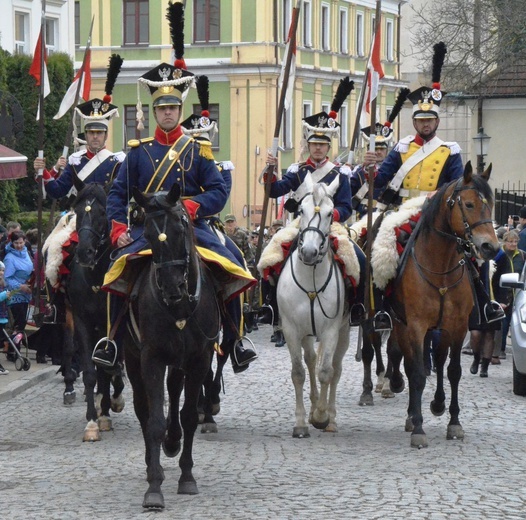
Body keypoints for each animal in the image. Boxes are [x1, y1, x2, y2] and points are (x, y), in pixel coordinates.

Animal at [125, 183, 221, 508]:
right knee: (143, 409)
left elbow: (189, 416)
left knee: (176, 392)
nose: (171, 287)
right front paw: (154, 487)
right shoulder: (150, 357)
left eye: (181, 226)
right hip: (131, 359)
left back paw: (173, 439)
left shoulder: (199, 359)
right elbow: (153, 420)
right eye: (147, 234)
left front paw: (187, 477)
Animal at [278, 173, 352, 436]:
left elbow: (326, 371)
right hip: (307, 333)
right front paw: (301, 422)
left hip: (344, 331)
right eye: (301, 210)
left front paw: (321, 416)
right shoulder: (290, 329)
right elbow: (299, 372)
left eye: (331, 213)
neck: (311, 278)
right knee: (310, 359)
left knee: (336, 369)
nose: (309, 252)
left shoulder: (330, 330)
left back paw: (330, 418)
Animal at [386, 162, 502, 446]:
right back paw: (408, 408)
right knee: (406, 361)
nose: (490, 247)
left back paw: (437, 403)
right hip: (401, 324)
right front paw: (418, 427)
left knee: (438, 360)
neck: (440, 267)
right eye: (469, 204)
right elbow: (417, 372)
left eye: (491, 205)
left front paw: (454, 422)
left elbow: (453, 370)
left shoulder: (457, 326)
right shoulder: (416, 325)